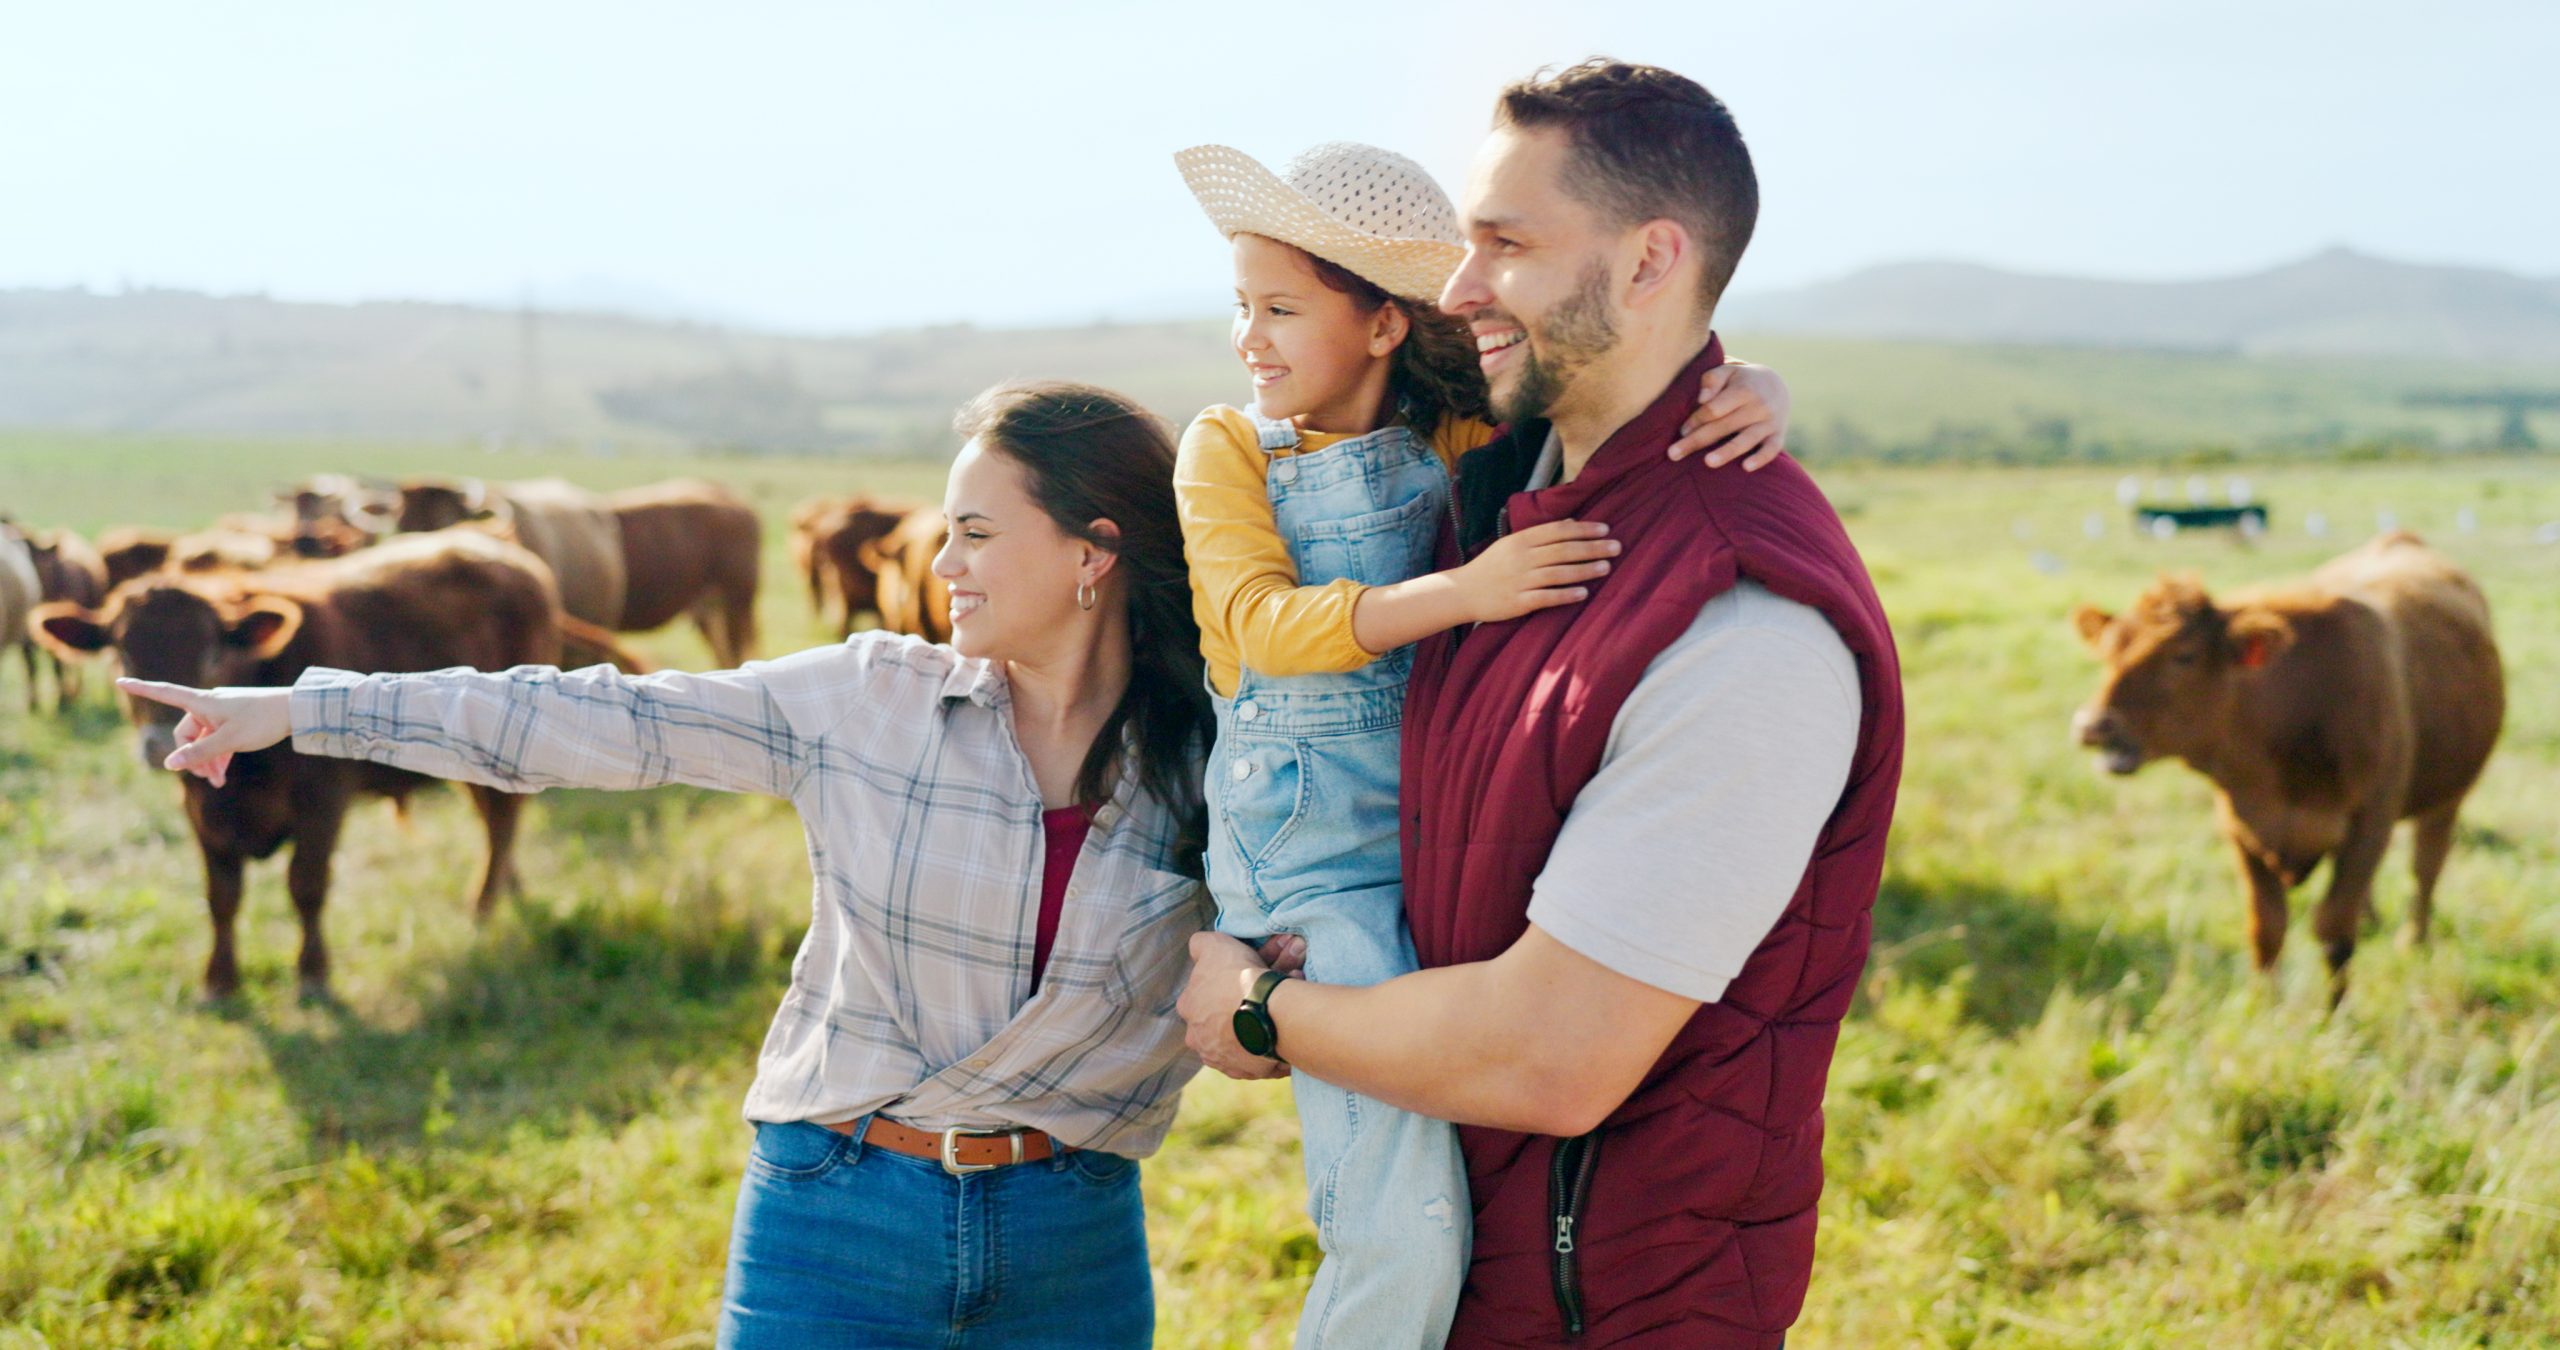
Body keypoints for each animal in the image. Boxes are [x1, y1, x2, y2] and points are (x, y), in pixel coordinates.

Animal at [31, 530, 560, 1004]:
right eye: (122, 650)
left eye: (212, 651)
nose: (159, 741)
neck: (243, 781)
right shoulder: (201, 812)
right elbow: (221, 897)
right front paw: (219, 982)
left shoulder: (322, 804)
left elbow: (306, 885)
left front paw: (313, 974)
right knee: (495, 820)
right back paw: (506, 886)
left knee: (502, 820)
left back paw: (483, 906)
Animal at [2068, 530, 2508, 1004]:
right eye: (2108, 651)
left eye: (2183, 655)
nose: (2092, 725)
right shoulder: (2241, 827)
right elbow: (2267, 927)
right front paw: (2263, 1008)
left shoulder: (2370, 824)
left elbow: (2334, 928)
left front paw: (2333, 1014)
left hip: (2447, 797)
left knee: (2426, 867)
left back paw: (2413, 939)